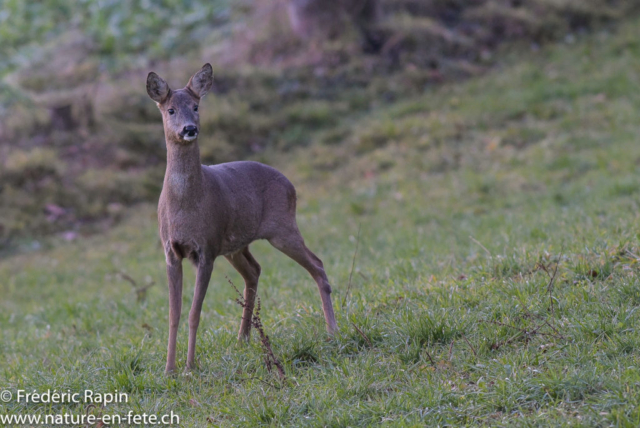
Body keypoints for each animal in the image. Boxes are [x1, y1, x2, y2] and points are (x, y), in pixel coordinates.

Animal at [147, 61, 338, 372]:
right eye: (171, 109)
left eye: (196, 106)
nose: (190, 129)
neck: (184, 207)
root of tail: (291, 186)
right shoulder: (171, 251)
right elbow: (173, 315)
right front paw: (169, 370)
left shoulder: (206, 248)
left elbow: (194, 313)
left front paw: (189, 367)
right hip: (236, 245)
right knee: (254, 270)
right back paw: (243, 339)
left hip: (282, 227)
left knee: (317, 264)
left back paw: (332, 330)